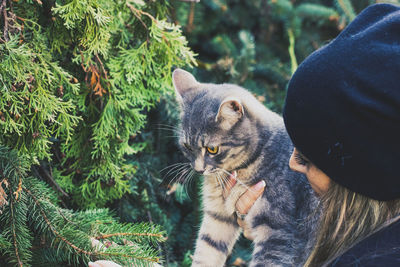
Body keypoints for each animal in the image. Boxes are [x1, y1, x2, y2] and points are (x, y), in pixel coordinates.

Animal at [173, 69, 318, 267]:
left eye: (212, 149)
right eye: (187, 146)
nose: (198, 169)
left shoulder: (279, 231)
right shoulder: (218, 217)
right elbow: (206, 252)